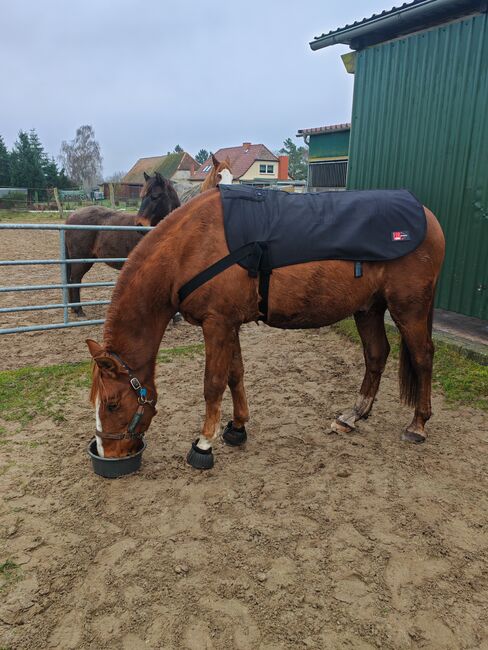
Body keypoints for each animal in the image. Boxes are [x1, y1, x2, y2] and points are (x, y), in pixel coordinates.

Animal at [65, 172, 180, 316]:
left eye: (155, 196)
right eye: (142, 196)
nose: (139, 225)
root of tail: (71, 216)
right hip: (81, 260)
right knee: (75, 280)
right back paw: (79, 310)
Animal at [87, 188, 445, 468]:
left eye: (112, 404)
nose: (108, 452)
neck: (191, 246)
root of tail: (427, 216)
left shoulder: (217, 324)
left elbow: (213, 384)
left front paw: (204, 444)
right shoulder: (229, 323)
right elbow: (235, 374)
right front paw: (237, 427)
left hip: (409, 308)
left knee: (423, 357)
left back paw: (417, 425)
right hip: (369, 308)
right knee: (376, 355)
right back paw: (354, 415)